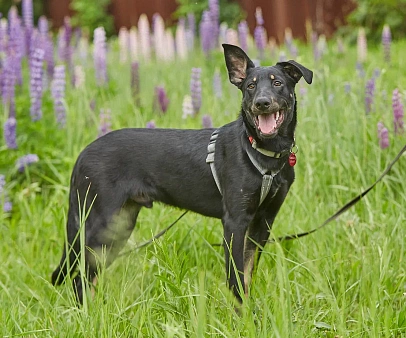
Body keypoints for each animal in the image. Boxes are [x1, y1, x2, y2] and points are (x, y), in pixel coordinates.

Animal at [50, 43, 310, 304]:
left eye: (278, 83)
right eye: (250, 86)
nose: (262, 103)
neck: (262, 152)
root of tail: (83, 154)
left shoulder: (263, 221)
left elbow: (247, 274)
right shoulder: (235, 222)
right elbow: (236, 280)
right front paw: (243, 313)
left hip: (119, 226)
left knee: (89, 275)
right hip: (100, 222)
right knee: (79, 277)